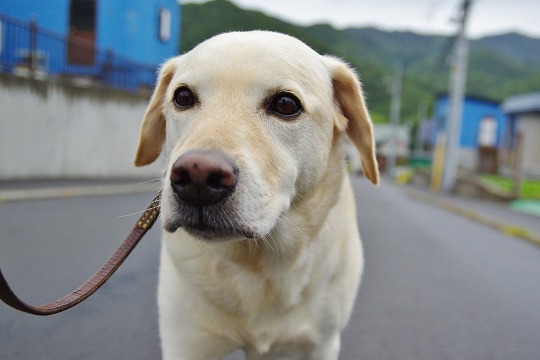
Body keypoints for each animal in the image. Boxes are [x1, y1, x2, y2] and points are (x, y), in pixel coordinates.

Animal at [133, 31, 378, 360]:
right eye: (182, 97)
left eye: (286, 104)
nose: (198, 177)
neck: (258, 264)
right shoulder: (186, 342)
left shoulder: (321, 343)